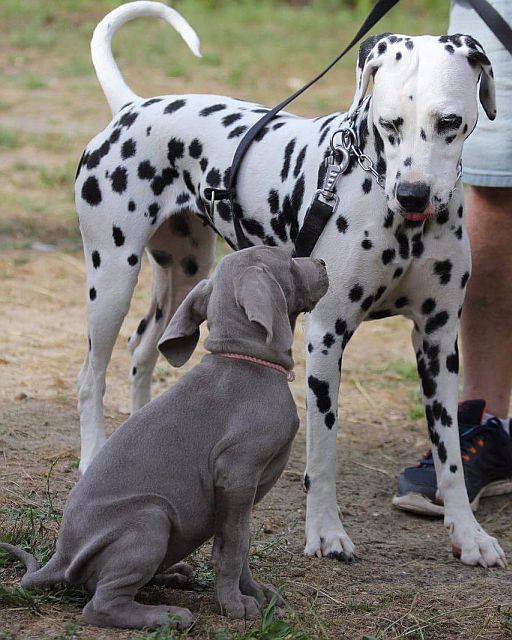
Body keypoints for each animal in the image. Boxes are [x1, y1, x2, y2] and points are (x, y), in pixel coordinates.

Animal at [1, 246, 328, 632]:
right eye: (289, 260)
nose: (323, 263)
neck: (248, 361)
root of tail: (59, 557)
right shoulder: (235, 475)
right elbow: (233, 547)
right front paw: (234, 605)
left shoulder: (239, 497)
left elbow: (242, 542)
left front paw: (255, 593)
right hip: (151, 518)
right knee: (101, 604)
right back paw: (168, 615)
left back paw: (173, 576)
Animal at [75, 1, 504, 568]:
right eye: (389, 123)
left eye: (449, 122)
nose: (412, 194)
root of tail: (132, 107)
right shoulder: (326, 337)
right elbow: (322, 453)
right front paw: (325, 532)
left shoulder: (437, 343)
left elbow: (449, 453)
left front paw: (468, 534)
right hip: (111, 279)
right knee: (90, 377)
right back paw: (92, 460)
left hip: (184, 274)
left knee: (142, 350)